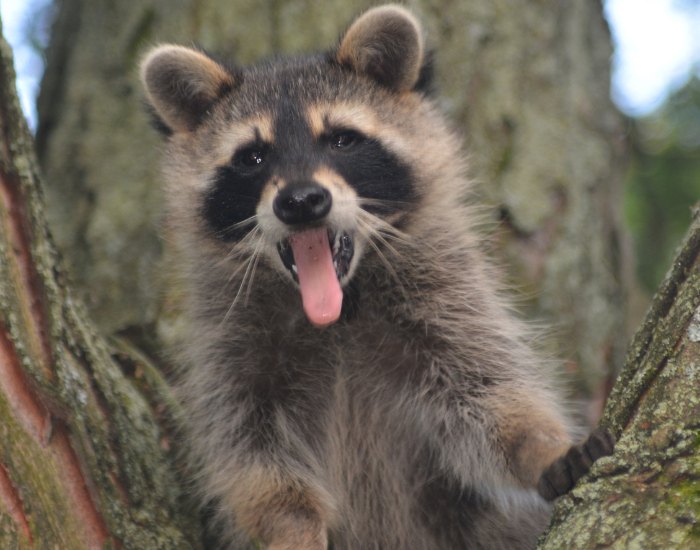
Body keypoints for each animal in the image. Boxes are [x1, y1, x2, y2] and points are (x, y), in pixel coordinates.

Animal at [140, 5, 614, 550]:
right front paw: (291, 525)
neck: (338, 307)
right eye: (253, 157)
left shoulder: (447, 300)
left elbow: (491, 392)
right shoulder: (233, 349)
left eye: (342, 139)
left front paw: (539, 447)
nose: (301, 201)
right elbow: (252, 455)